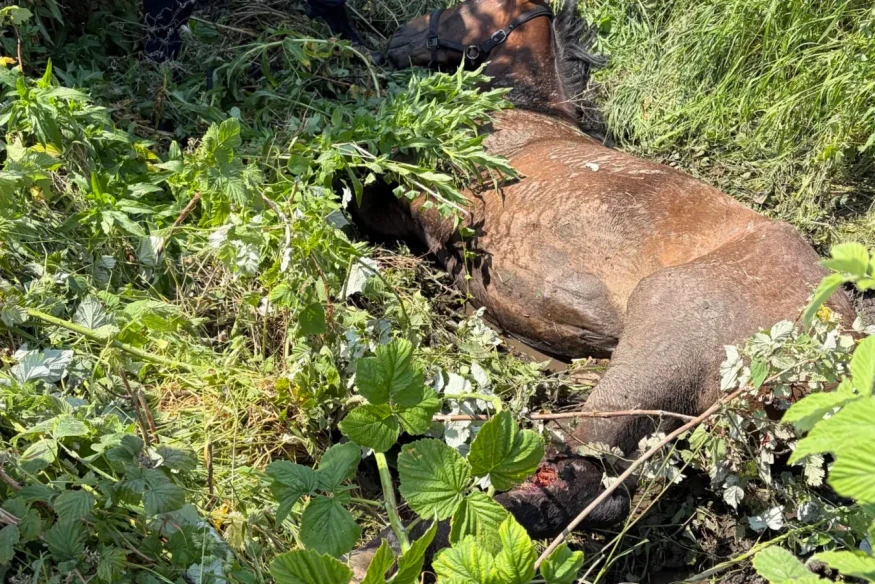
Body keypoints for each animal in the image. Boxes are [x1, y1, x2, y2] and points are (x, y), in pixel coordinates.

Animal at [347, 0, 855, 567]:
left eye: (461, 9)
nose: (396, 38)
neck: (535, 122)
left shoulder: (434, 198)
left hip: (662, 346)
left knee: (585, 475)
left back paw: (383, 551)